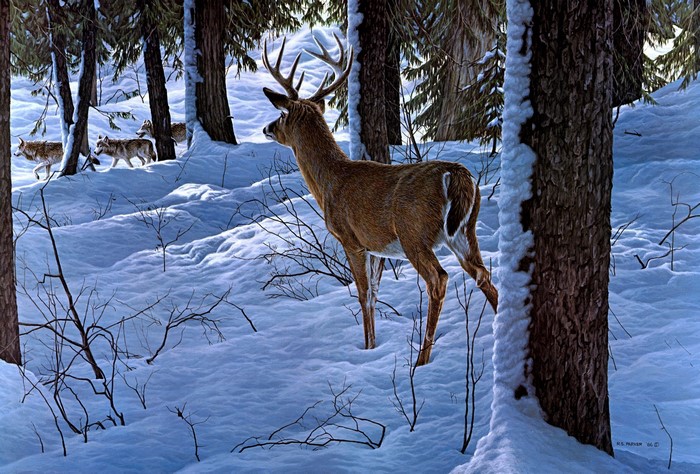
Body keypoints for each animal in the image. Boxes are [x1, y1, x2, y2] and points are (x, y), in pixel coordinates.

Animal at [261, 34, 498, 366]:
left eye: (282, 115)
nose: (267, 127)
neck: (330, 181)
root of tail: (456, 174)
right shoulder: (376, 247)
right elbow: (374, 294)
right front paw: (372, 347)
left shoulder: (350, 238)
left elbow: (363, 294)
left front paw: (367, 347)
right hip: (465, 230)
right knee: (482, 274)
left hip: (414, 232)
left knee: (438, 279)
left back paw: (421, 360)